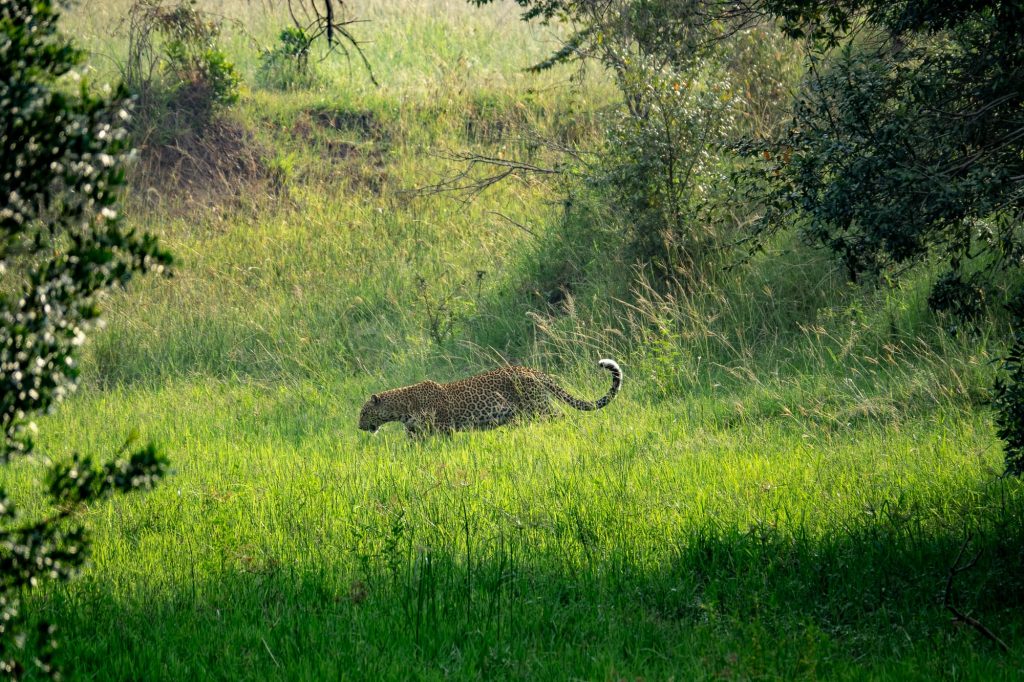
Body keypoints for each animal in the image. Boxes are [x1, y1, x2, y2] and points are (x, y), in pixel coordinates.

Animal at [356, 356, 618, 436]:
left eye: (364, 412)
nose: (359, 427)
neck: (400, 410)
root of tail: (532, 370)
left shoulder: (444, 428)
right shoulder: (415, 435)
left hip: (539, 406)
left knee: (561, 415)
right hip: (527, 413)